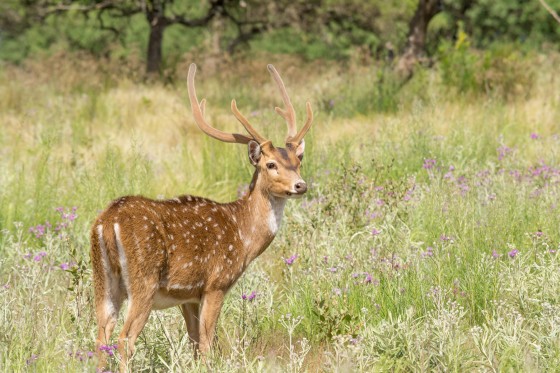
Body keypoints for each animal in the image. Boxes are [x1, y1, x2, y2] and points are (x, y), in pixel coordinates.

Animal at [89, 62, 312, 370]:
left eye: (298, 160)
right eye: (271, 164)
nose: (301, 185)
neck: (243, 234)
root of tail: (108, 222)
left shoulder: (189, 296)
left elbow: (194, 343)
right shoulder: (216, 282)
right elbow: (207, 345)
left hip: (103, 279)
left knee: (101, 337)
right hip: (143, 280)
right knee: (124, 340)